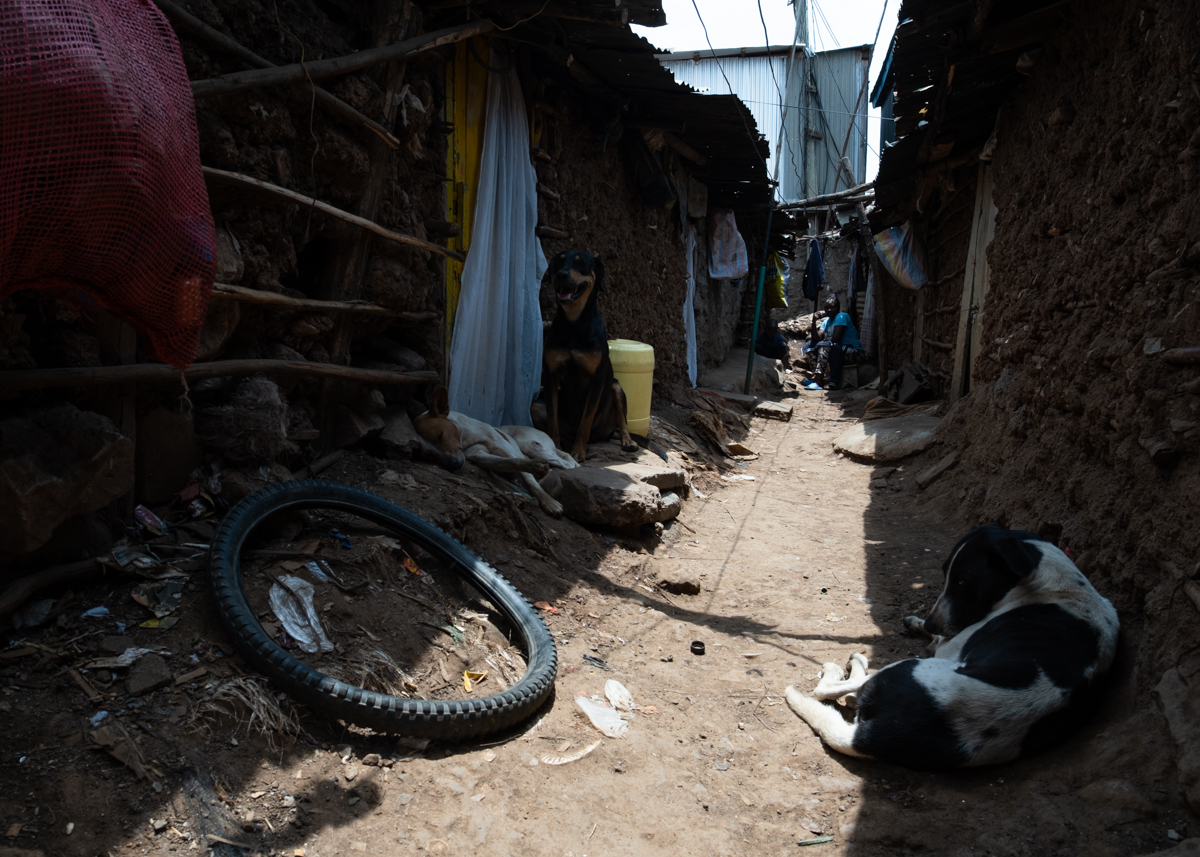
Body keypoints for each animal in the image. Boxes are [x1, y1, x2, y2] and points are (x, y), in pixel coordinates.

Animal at [411, 386, 576, 517]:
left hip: (533, 446)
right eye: (429, 454)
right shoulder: (480, 456)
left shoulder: (505, 448)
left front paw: (549, 502)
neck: (465, 438)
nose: (454, 465)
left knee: (567, 464)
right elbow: (511, 462)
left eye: (440, 435)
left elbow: (528, 477)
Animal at [542, 250, 638, 462]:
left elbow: (585, 421)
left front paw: (578, 451)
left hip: (616, 387)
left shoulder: (597, 379)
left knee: (622, 420)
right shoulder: (551, 376)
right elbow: (551, 420)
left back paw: (627, 441)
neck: (574, 323)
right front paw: (557, 449)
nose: (561, 274)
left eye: (582, 264)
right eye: (558, 261)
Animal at [785, 525, 1120, 770]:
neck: (1058, 585)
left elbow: (942, 639)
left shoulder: (951, 645)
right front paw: (919, 623)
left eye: (963, 582)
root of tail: (870, 737)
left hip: (909, 668)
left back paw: (850, 667)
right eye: (946, 574)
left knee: (828, 690)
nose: (933, 624)